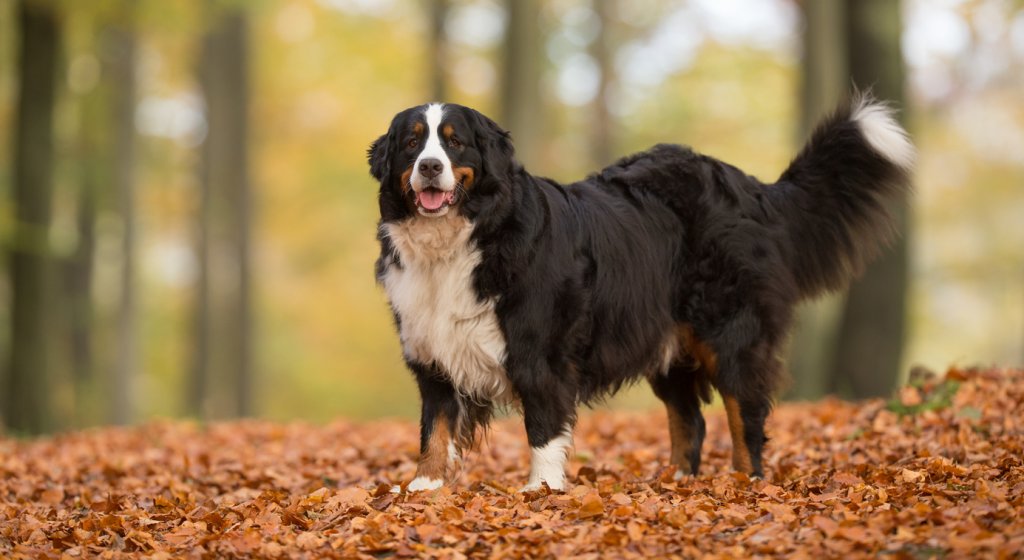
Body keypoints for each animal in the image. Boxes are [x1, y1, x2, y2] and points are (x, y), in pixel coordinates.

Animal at [366, 95, 913, 491]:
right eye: (413, 144)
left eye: (455, 144)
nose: (430, 167)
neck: (462, 240)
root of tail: (749, 186)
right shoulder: (433, 350)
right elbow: (435, 427)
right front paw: (425, 487)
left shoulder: (540, 354)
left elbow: (542, 429)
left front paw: (541, 491)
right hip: (668, 344)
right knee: (690, 420)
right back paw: (675, 481)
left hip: (730, 332)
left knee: (745, 413)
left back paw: (744, 481)